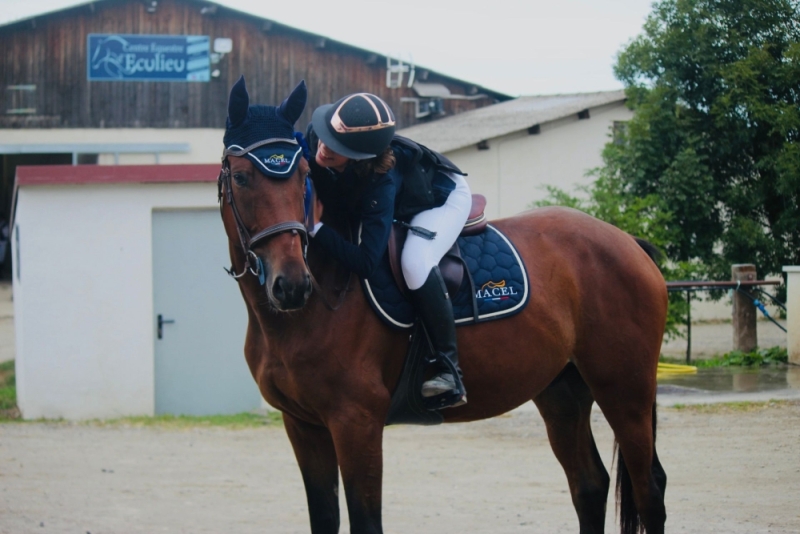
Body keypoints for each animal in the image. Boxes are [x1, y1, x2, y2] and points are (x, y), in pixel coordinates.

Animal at [219, 84, 668, 534]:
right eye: (240, 177)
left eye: (302, 177)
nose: (292, 286)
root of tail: (627, 241)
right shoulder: (303, 425)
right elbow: (324, 518)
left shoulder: (356, 422)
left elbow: (366, 521)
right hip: (562, 393)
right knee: (589, 485)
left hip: (624, 390)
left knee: (649, 488)